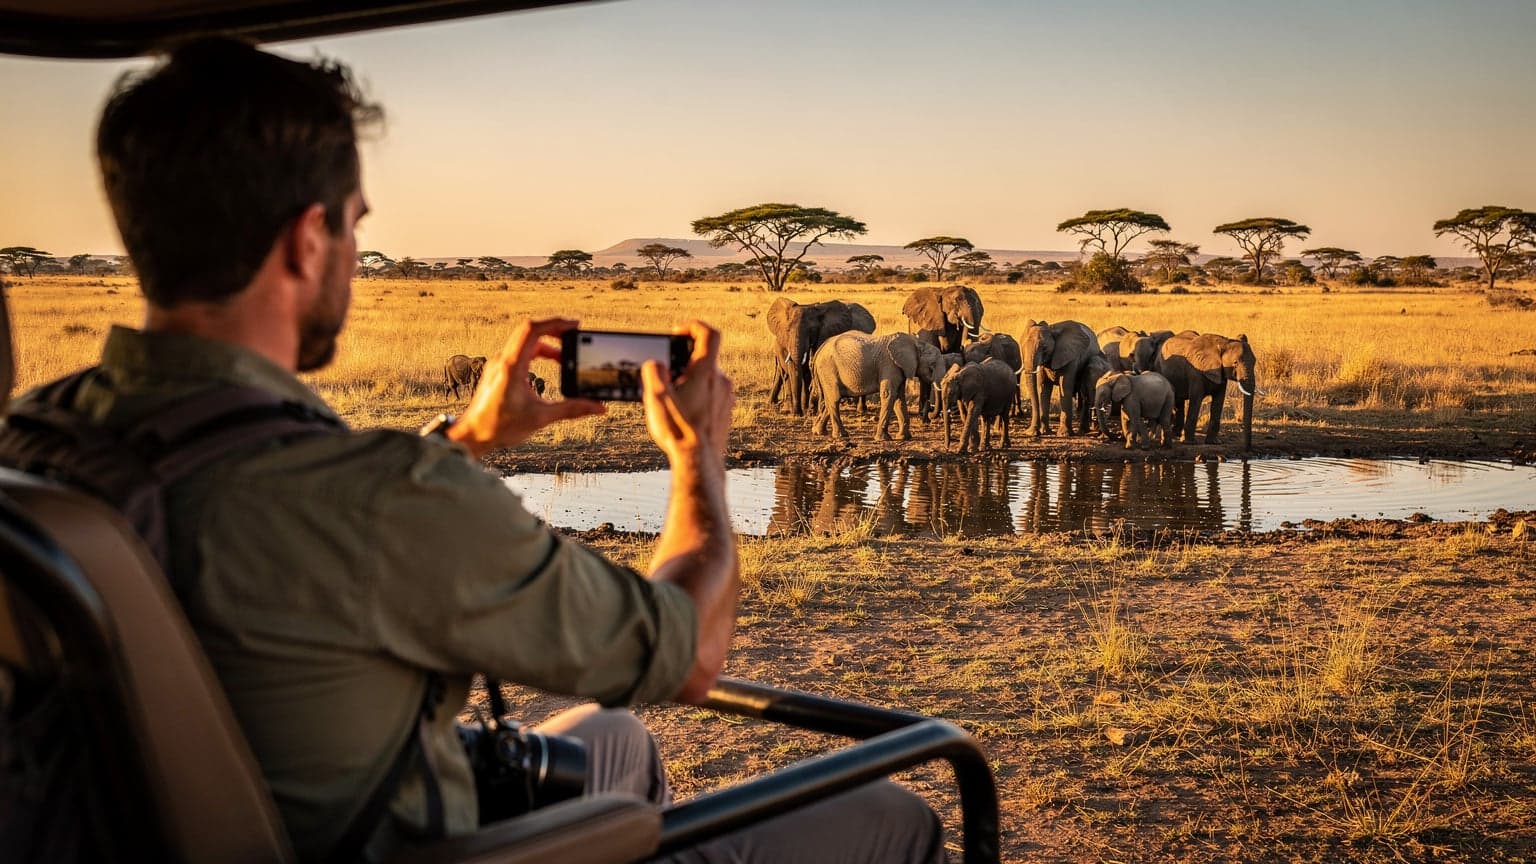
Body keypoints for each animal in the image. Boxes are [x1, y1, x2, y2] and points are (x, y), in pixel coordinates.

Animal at [810, 331, 947, 441]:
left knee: (830, 399)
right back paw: (841, 436)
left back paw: (818, 431)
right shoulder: (890, 365)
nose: (929, 407)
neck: (916, 343)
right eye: (932, 366)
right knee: (835, 398)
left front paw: (903, 438)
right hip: (829, 369)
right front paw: (883, 439)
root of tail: (819, 350)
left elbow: (899, 398)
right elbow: (889, 394)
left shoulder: (899, 368)